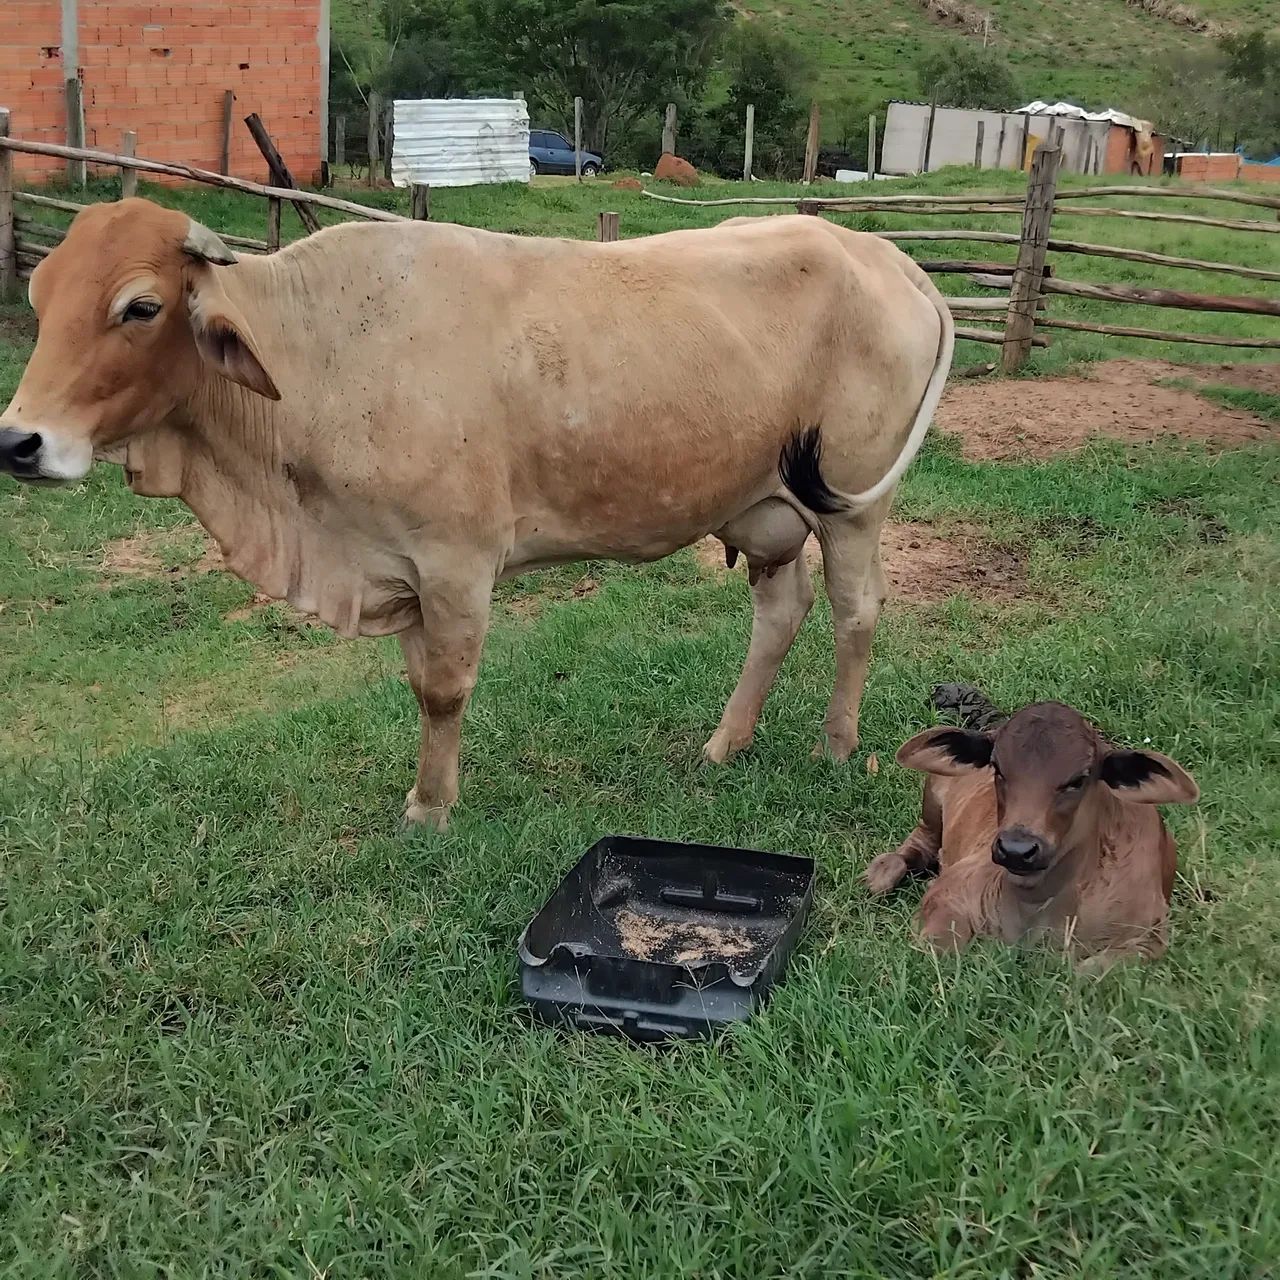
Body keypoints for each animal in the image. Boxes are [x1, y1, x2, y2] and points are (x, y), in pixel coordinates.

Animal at [0, 198, 954, 828]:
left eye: (140, 306)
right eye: (41, 297)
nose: (20, 441)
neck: (318, 355)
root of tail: (884, 254)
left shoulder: (455, 562)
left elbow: (445, 689)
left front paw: (430, 810)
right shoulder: (400, 571)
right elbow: (421, 683)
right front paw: (429, 793)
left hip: (855, 507)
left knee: (856, 611)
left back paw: (836, 744)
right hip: (765, 509)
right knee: (780, 611)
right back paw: (728, 741)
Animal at [864, 687, 1200, 972]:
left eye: (1079, 779)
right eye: (997, 768)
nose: (1016, 850)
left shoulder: (1148, 937)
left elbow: (1087, 974)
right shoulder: (950, 893)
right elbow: (939, 949)